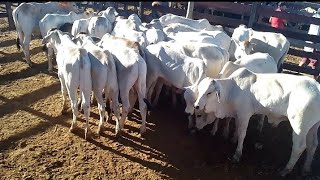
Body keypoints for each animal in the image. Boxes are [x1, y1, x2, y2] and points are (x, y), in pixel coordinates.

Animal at [192, 68, 320, 176]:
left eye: (209, 93)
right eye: (199, 90)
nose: (196, 105)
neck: (232, 90)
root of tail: (317, 87)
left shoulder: (244, 114)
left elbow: (242, 134)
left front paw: (237, 154)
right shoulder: (238, 115)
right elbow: (237, 128)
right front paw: (233, 139)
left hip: (299, 126)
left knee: (299, 147)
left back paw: (286, 170)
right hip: (313, 126)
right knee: (313, 144)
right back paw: (306, 168)